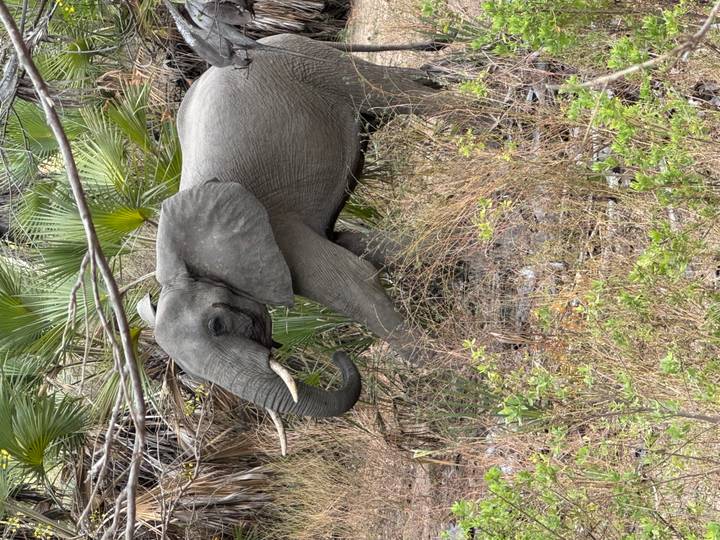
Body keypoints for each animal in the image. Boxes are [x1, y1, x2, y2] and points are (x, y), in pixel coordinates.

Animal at [138, 33, 442, 422]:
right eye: (190, 374)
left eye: (217, 325)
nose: (340, 357)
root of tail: (267, 39)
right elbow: (354, 243)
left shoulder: (277, 227)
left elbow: (352, 281)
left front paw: (452, 371)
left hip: (312, 66)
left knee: (393, 95)